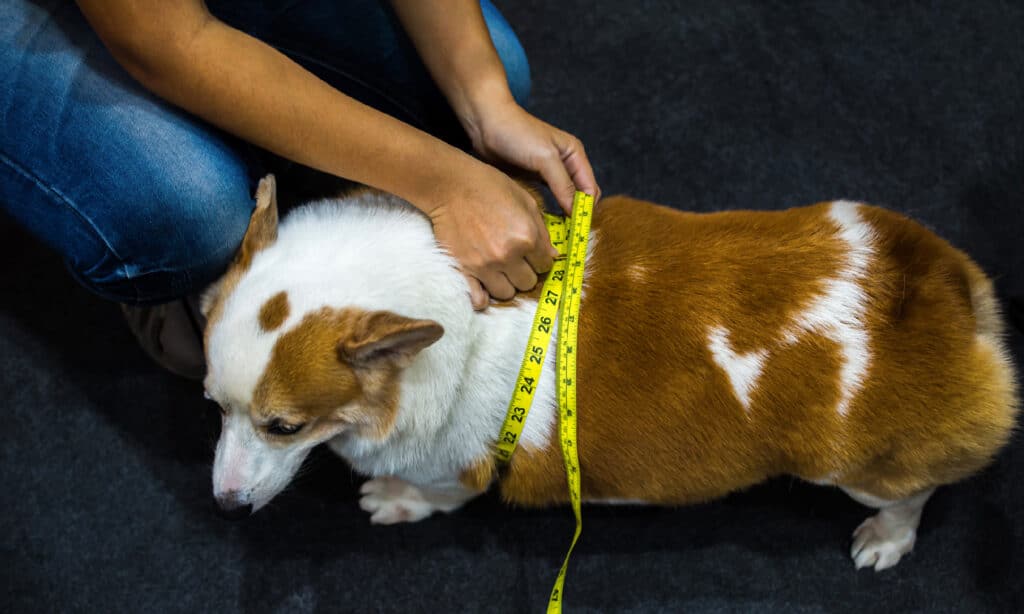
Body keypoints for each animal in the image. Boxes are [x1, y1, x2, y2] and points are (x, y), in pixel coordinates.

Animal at [199, 173, 1015, 568]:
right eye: (213, 406)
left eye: (284, 426)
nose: (225, 510)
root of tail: (948, 290)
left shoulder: (455, 469)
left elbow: (436, 496)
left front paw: (392, 500)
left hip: (855, 469)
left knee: (917, 491)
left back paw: (885, 539)